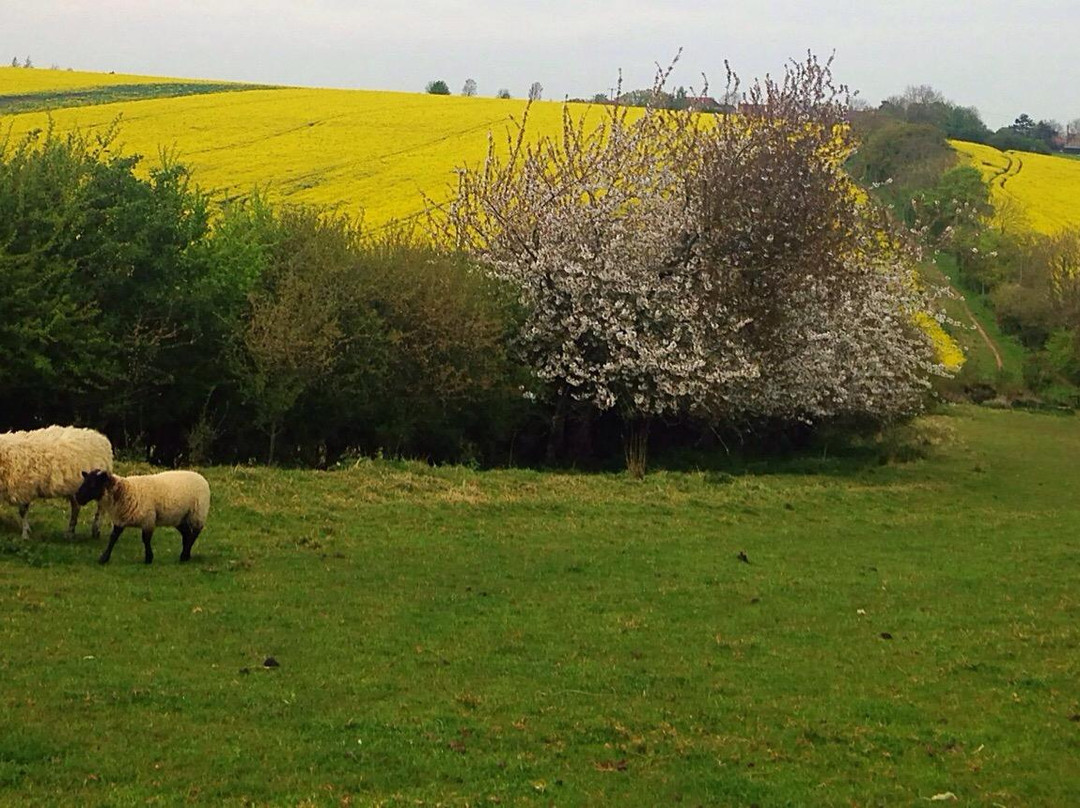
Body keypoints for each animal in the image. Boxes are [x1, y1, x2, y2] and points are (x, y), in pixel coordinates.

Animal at [75, 470, 210, 566]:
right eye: (84, 481)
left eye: (93, 484)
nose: (78, 497)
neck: (124, 491)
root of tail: (200, 476)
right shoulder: (120, 519)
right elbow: (113, 538)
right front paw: (104, 558)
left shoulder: (148, 519)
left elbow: (146, 539)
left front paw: (149, 558)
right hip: (179, 517)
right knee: (187, 533)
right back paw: (185, 556)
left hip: (197, 512)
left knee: (195, 533)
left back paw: (185, 554)